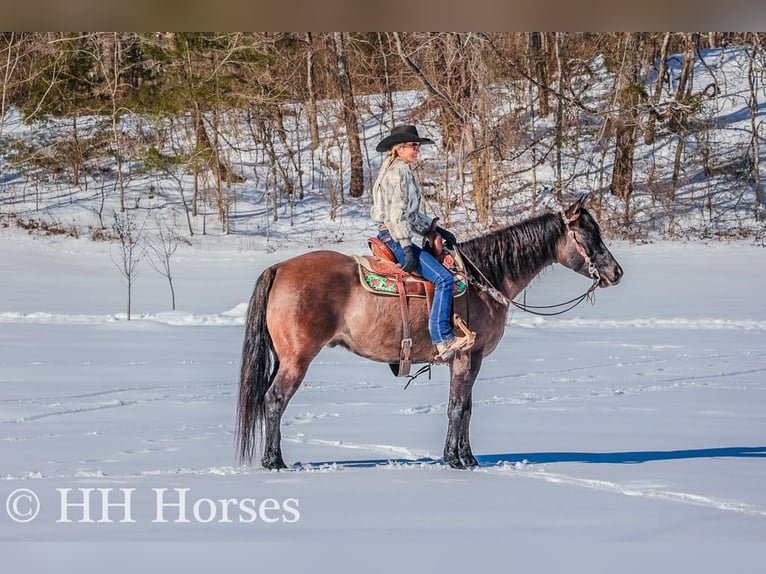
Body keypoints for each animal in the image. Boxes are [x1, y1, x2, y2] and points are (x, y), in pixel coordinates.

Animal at [237, 196, 623, 470]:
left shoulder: (471, 360)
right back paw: (275, 461)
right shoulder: (466, 356)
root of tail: (279, 267)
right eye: (588, 234)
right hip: (297, 359)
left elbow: (466, 408)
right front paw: (455, 459)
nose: (616, 272)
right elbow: (456, 407)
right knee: (274, 400)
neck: (485, 277)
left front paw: (468, 457)